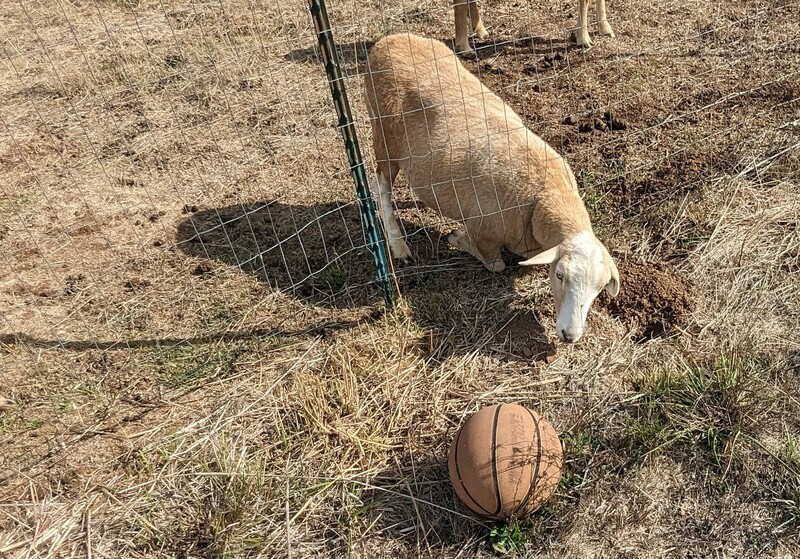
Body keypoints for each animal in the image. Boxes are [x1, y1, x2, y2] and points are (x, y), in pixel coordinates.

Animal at [362, 34, 620, 346]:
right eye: (559, 275)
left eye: (600, 287)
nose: (570, 335)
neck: (544, 195)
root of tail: (388, 40)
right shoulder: (484, 231)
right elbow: (495, 265)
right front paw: (457, 238)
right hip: (384, 136)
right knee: (381, 187)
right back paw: (398, 245)